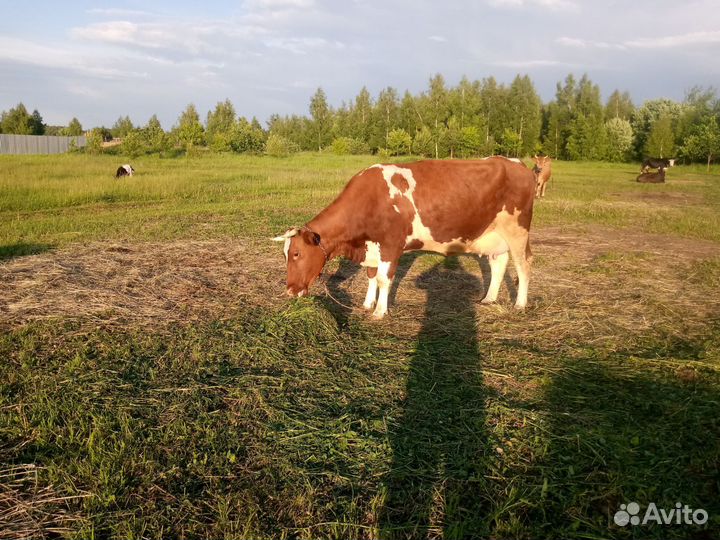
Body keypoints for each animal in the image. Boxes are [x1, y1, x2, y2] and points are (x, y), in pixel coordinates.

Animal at [274, 158, 535, 319]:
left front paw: (380, 311)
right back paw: (489, 299)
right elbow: (371, 276)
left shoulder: (391, 245)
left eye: (296, 253)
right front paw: (368, 303)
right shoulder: (372, 248)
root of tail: (516, 163)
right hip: (494, 236)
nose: (290, 291)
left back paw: (520, 304)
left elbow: (383, 279)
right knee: (498, 264)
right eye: (286, 254)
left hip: (517, 231)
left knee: (523, 265)